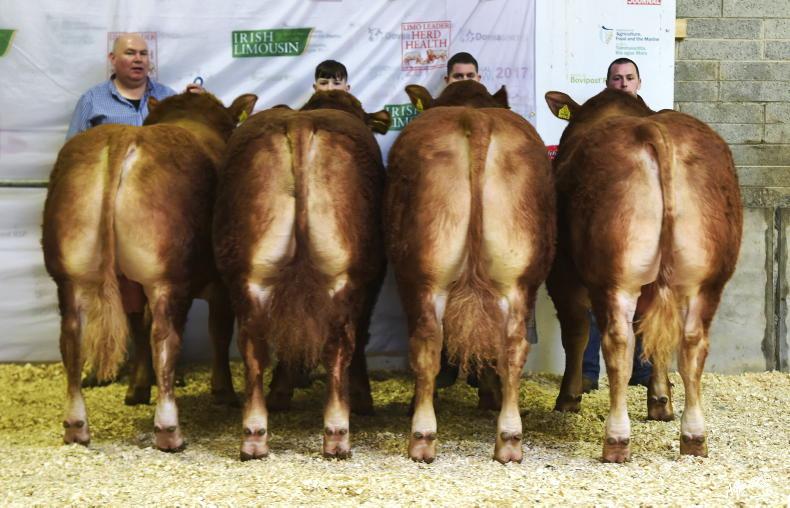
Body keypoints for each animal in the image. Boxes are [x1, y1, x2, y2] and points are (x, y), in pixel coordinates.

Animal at [42, 92, 257, 451]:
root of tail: (122, 137)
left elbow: (137, 327)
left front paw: (137, 389)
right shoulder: (221, 284)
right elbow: (218, 332)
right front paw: (224, 392)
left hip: (68, 274)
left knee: (72, 336)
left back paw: (76, 427)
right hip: (165, 278)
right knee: (165, 338)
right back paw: (169, 430)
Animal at [213, 90, 390, 461]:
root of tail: (300, 123)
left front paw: (281, 393)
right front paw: (363, 398)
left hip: (246, 274)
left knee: (253, 344)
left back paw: (254, 436)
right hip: (344, 274)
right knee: (341, 344)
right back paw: (337, 434)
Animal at [386, 80, 556, 463]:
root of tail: (475, 119)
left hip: (424, 275)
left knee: (427, 344)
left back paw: (422, 436)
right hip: (518, 277)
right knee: (512, 346)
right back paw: (509, 439)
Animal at [544, 88, 742, 462]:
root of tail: (652, 129)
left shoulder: (562, 274)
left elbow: (576, 333)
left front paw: (568, 398)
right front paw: (661, 401)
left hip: (614, 278)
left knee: (619, 342)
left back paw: (616, 439)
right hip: (706, 280)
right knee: (690, 342)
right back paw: (694, 436)